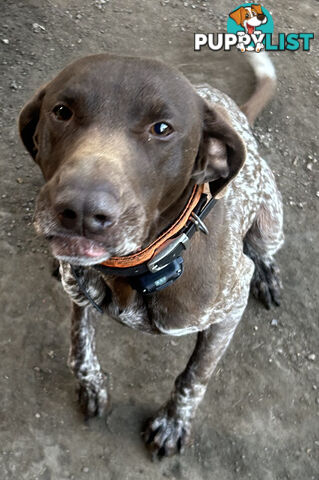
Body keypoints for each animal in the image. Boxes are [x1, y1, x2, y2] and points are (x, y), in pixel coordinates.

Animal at [18, 51, 284, 458]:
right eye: (62, 111)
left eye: (162, 129)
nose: (81, 210)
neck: (136, 267)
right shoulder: (78, 292)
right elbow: (79, 348)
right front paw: (91, 385)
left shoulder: (229, 310)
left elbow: (194, 376)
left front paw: (173, 422)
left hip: (270, 220)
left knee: (262, 249)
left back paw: (266, 272)